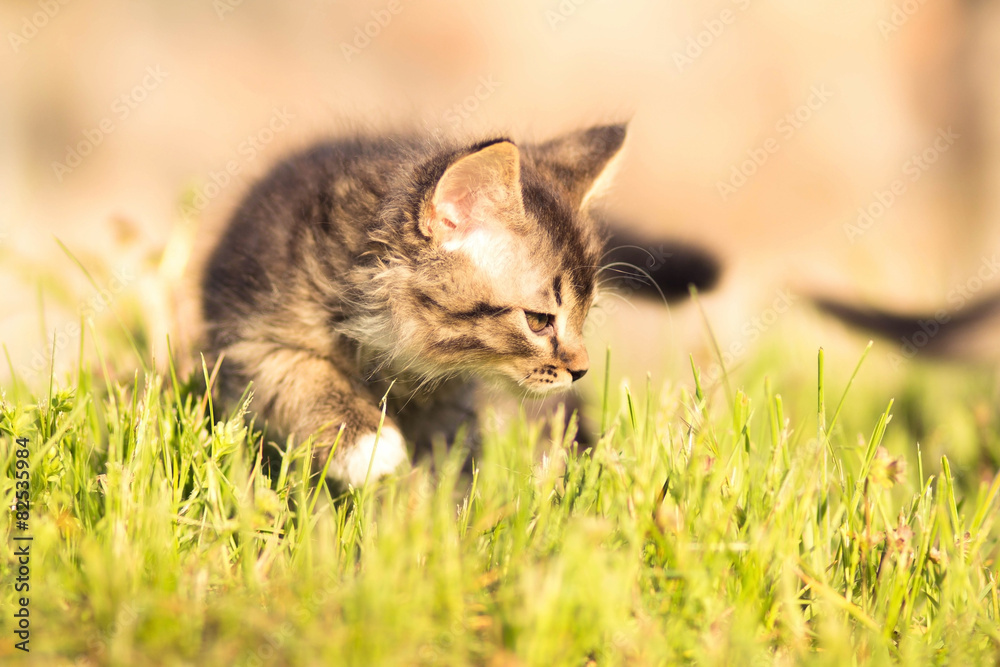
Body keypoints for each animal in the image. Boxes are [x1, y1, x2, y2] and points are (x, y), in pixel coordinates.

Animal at [197, 124, 624, 486]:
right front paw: (367, 444)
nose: (582, 370)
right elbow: (297, 373)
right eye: (538, 321)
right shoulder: (246, 337)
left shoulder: (452, 402)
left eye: (585, 315)